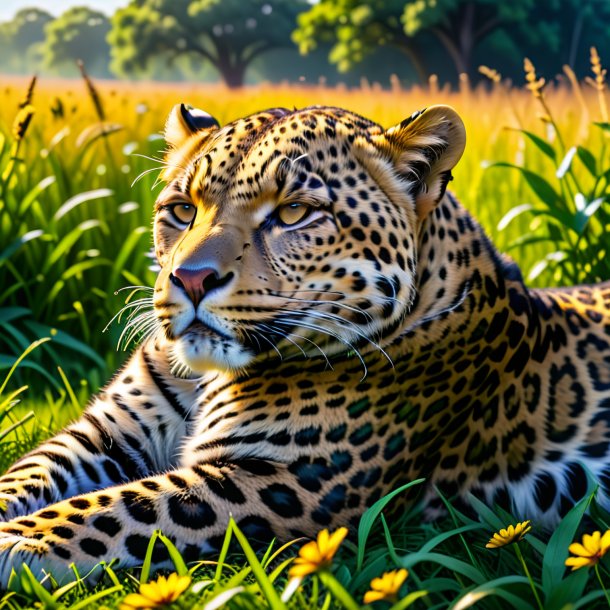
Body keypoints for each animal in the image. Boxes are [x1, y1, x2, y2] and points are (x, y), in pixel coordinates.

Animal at [1, 103, 608, 584]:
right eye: (182, 210)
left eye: (293, 212)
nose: (190, 279)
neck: (206, 378)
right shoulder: (106, 435)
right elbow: (29, 470)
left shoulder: (280, 478)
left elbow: (116, 508)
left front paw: (16, 541)